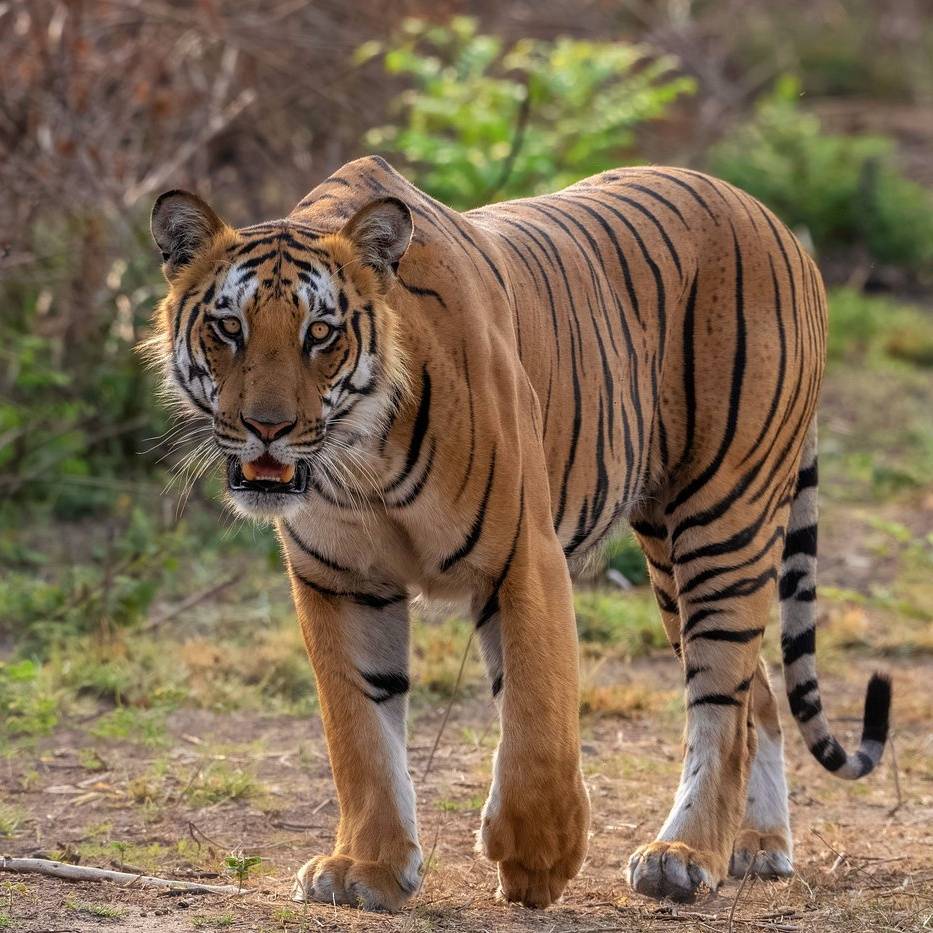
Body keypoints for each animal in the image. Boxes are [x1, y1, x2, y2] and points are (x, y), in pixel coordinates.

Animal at [148, 155, 891, 911]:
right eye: (228, 327)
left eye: (320, 333)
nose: (266, 427)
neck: (361, 459)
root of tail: (776, 222)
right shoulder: (340, 580)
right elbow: (358, 730)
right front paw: (366, 866)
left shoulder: (523, 554)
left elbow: (537, 712)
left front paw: (538, 858)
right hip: (670, 554)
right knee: (754, 692)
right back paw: (758, 845)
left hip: (723, 519)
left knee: (721, 702)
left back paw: (684, 856)